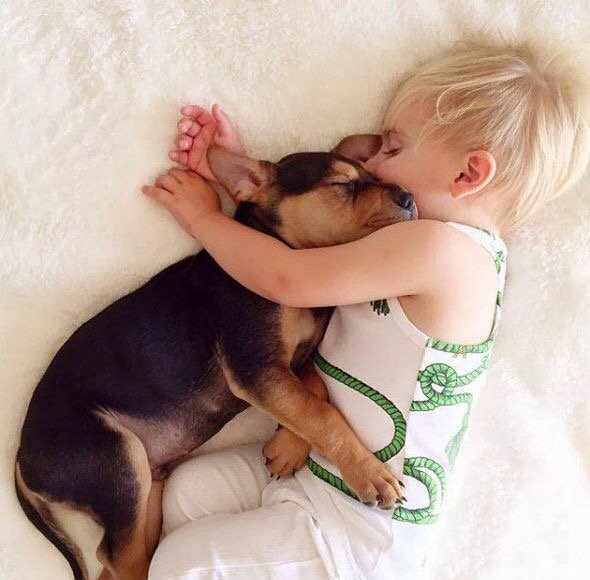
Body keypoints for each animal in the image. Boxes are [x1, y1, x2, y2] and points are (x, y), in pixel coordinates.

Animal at [15, 135, 416, 580]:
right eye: (342, 185)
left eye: (373, 176)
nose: (409, 197)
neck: (276, 246)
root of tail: (20, 461)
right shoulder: (255, 368)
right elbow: (319, 412)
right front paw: (370, 473)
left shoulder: (289, 363)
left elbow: (315, 393)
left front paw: (287, 448)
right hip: (114, 463)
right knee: (116, 555)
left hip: (145, 487)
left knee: (119, 556)